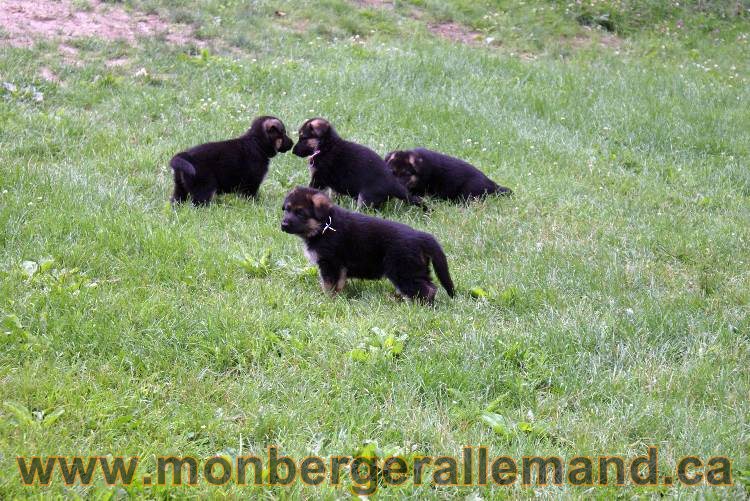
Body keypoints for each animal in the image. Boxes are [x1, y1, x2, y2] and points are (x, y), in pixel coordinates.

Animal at [282, 185, 456, 298]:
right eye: (287, 209)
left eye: (300, 213)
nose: (283, 224)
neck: (325, 224)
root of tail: (421, 236)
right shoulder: (338, 268)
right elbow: (338, 284)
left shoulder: (330, 264)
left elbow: (328, 285)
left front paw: (327, 300)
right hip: (417, 270)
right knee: (429, 286)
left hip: (403, 271)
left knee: (426, 290)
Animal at [292, 117, 426, 209]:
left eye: (303, 138)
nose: (293, 151)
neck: (325, 146)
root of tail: (393, 183)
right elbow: (333, 194)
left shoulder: (319, 178)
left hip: (365, 197)